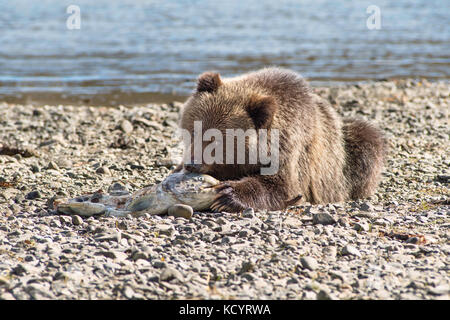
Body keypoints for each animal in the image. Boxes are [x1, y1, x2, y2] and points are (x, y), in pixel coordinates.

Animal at [176, 67, 386, 212]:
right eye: (194, 132)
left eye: (218, 141)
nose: (192, 164)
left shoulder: (290, 150)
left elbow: (282, 185)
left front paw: (227, 195)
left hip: (344, 157)